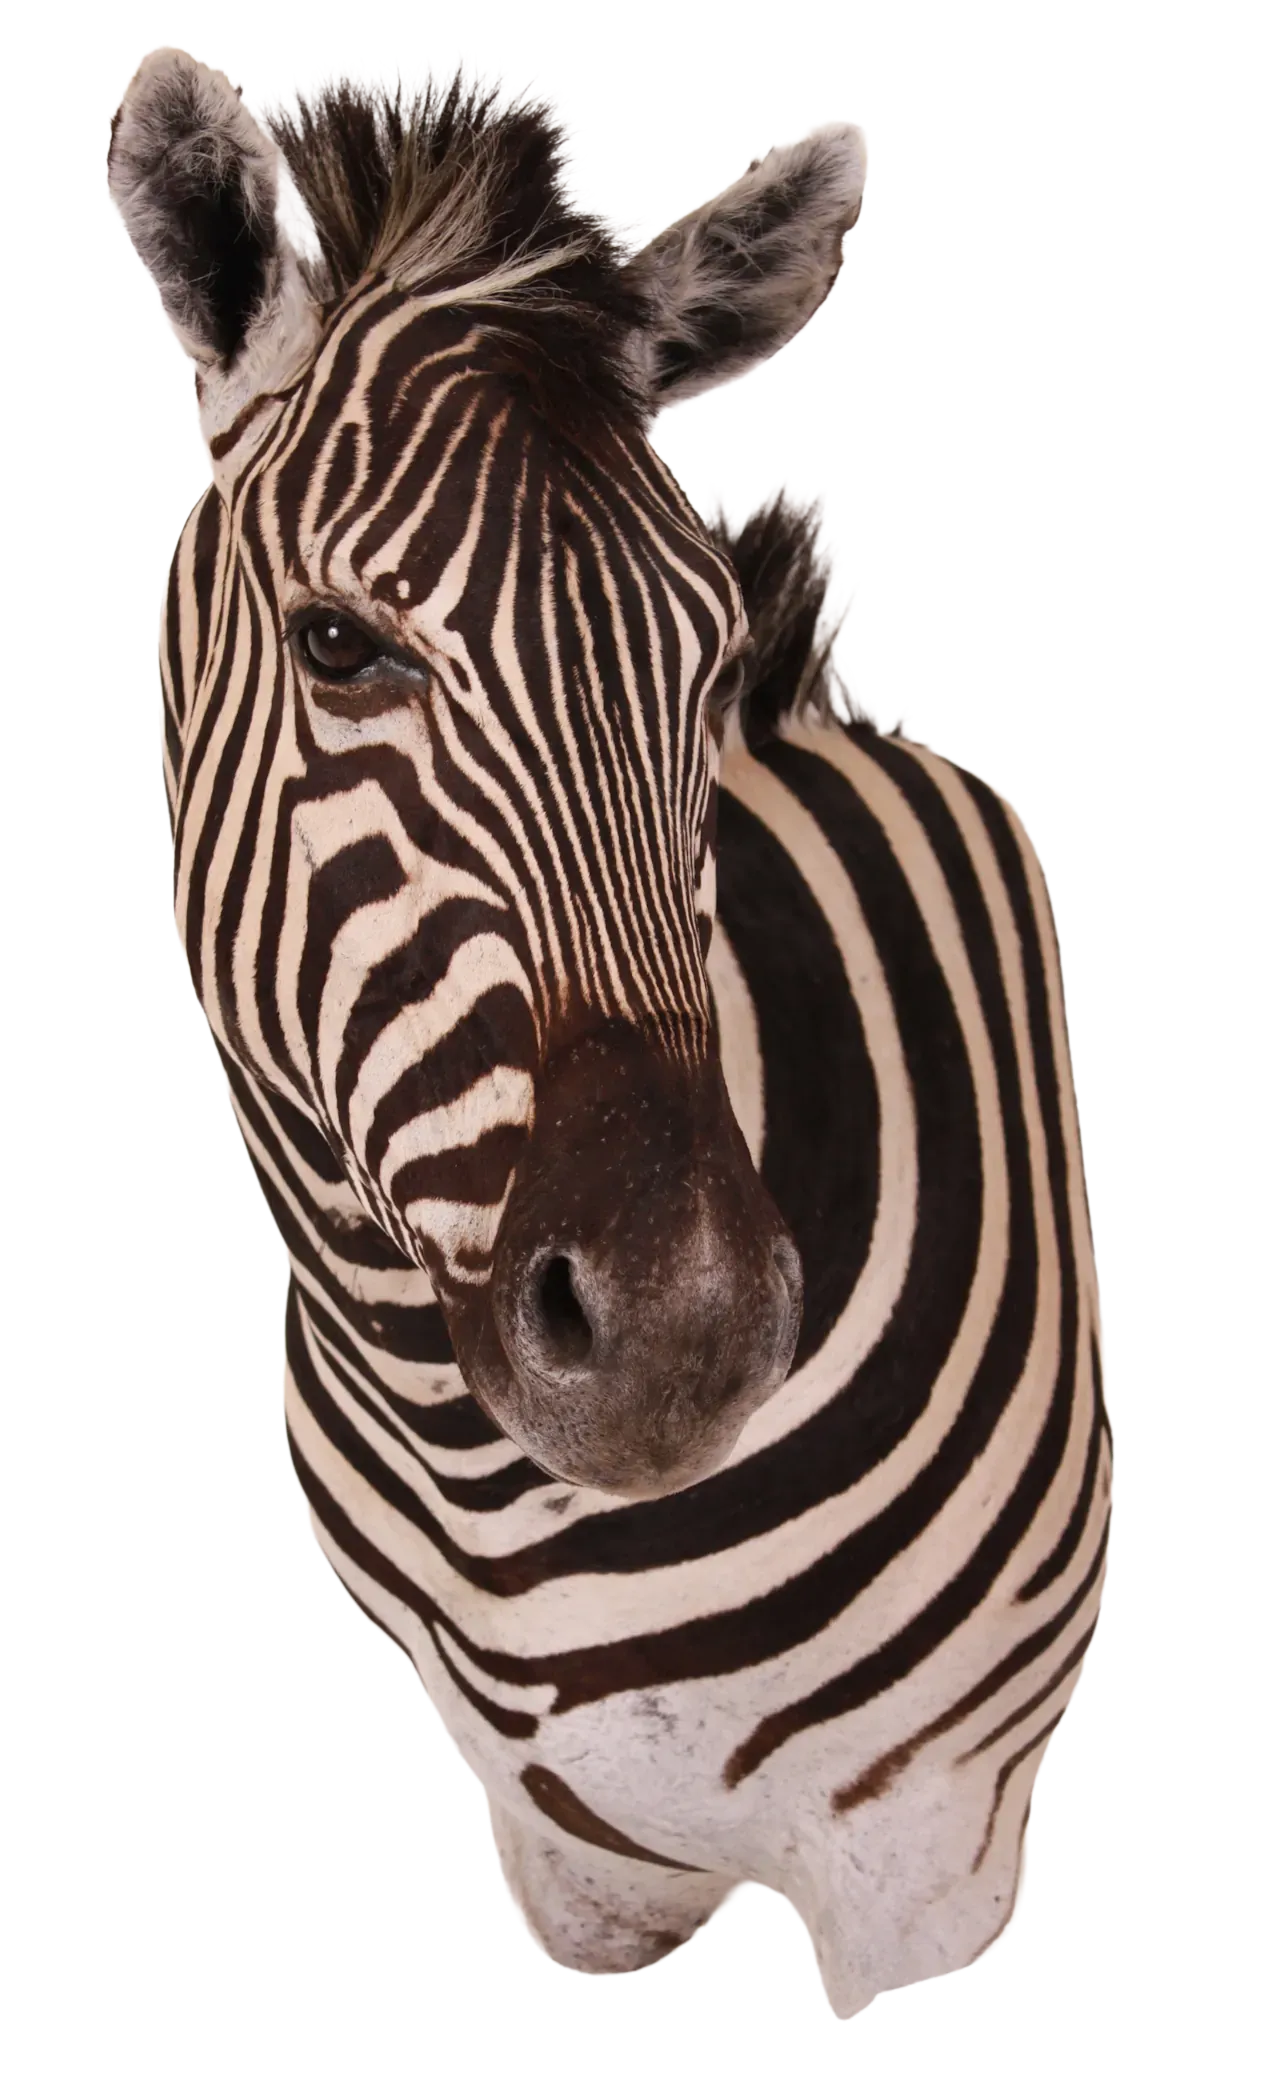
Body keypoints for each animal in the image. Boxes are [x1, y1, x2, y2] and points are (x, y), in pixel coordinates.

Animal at [107, 48, 1114, 2020]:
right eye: (337, 644)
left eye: (705, 669)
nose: (690, 1335)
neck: (496, 1485)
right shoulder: (564, 1848)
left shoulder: (932, 1846)